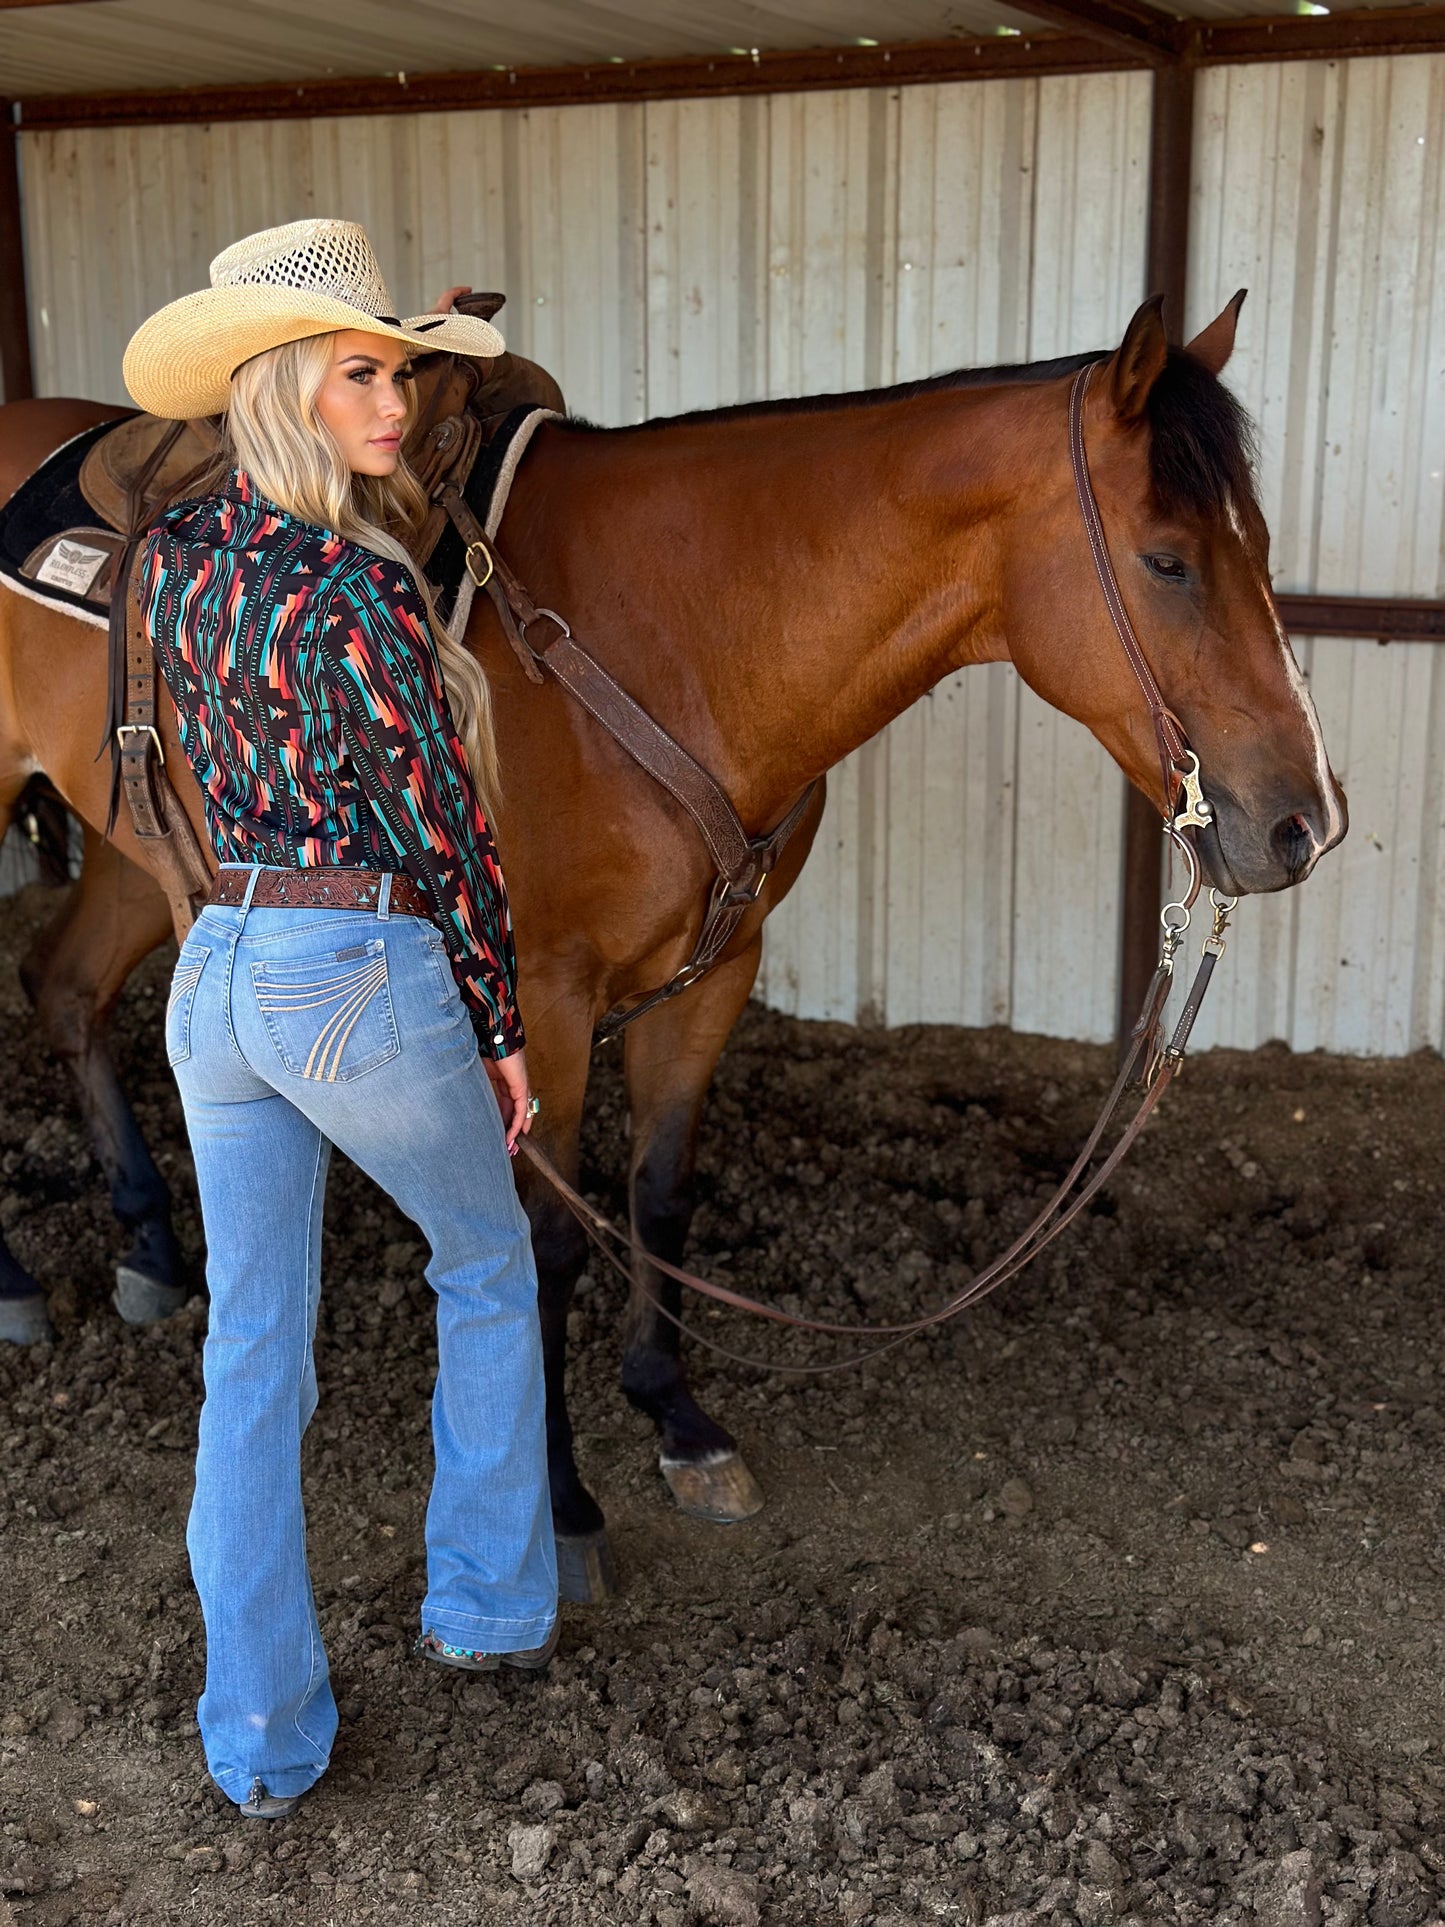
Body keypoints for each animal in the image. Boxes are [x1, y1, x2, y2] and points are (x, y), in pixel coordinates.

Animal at [0, 296, 1348, 1595]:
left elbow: (658, 1189)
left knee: (63, 989)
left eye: (1258, 551)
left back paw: (153, 1246)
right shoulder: (538, 992)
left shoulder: (718, 969)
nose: (1305, 823)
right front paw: (561, 1503)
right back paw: (22, 1285)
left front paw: (677, 1418)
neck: (665, 634)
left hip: (156, 847)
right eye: (1166, 560)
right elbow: (544, 1239)